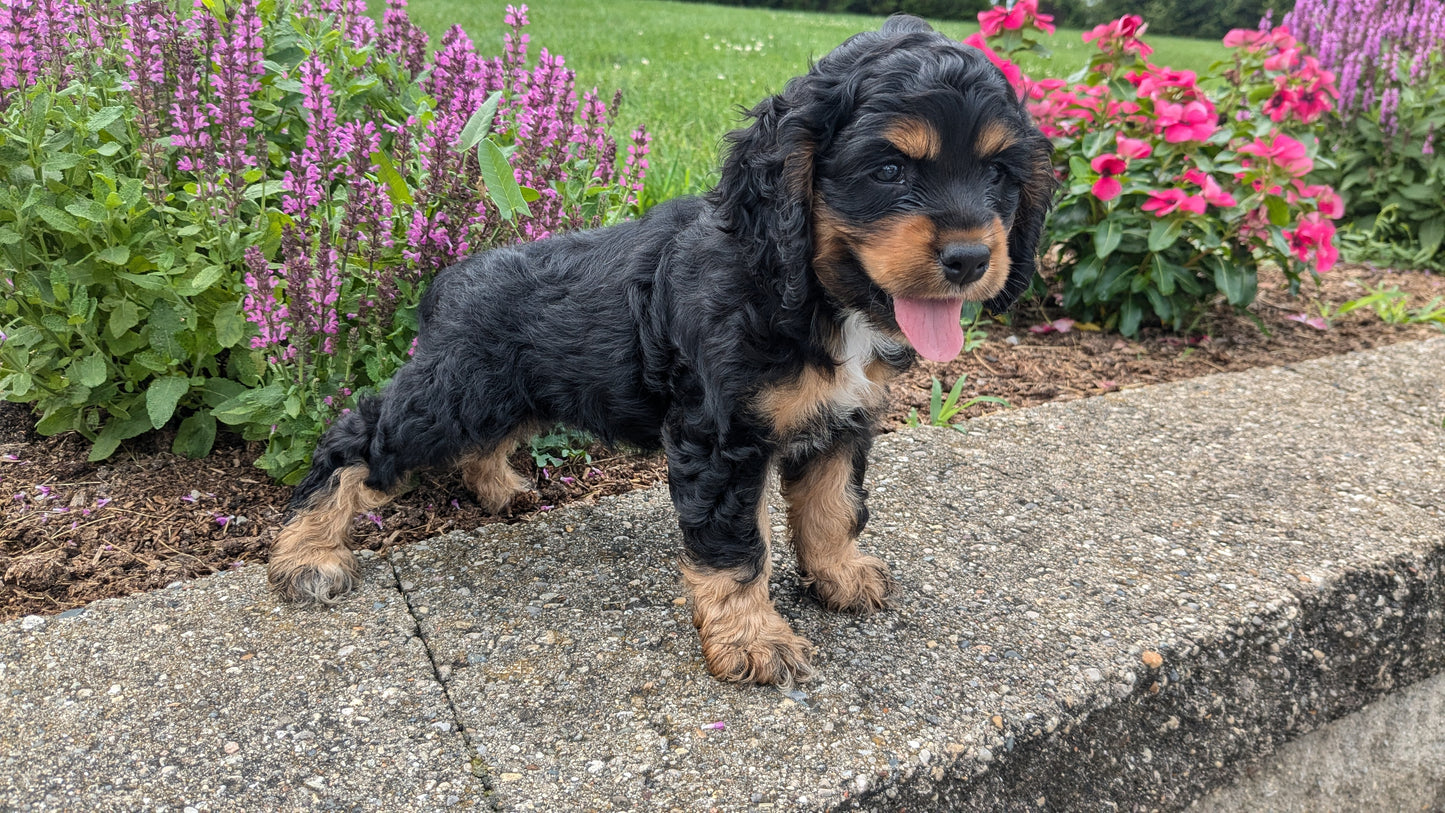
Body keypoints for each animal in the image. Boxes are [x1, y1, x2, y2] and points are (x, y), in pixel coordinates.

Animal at [271, 12, 1057, 687]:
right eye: (889, 170)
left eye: (998, 173)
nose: (968, 259)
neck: (796, 282)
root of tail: (454, 276)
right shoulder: (721, 437)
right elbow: (735, 548)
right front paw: (752, 640)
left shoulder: (842, 420)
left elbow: (833, 507)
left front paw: (839, 576)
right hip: (453, 394)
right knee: (356, 440)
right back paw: (306, 553)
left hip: (507, 393)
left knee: (477, 443)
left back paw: (499, 488)